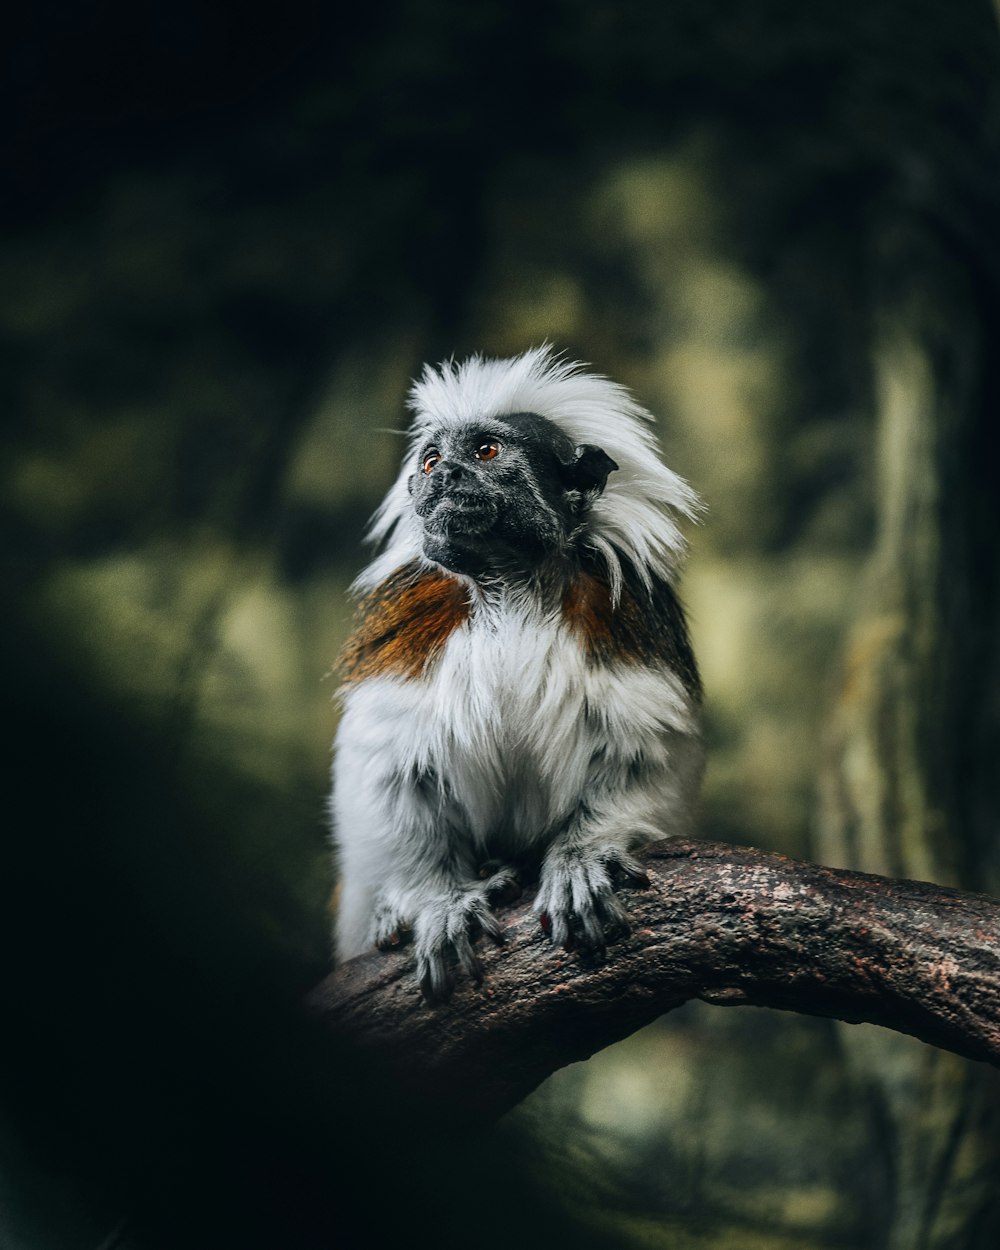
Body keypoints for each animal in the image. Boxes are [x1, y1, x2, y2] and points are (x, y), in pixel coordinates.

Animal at [327, 345, 705, 995]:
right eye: (432, 458)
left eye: (485, 451)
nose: (443, 476)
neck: (508, 586)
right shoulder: (411, 635)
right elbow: (392, 766)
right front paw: (437, 900)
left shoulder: (626, 623)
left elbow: (640, 756)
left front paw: (581, 856)